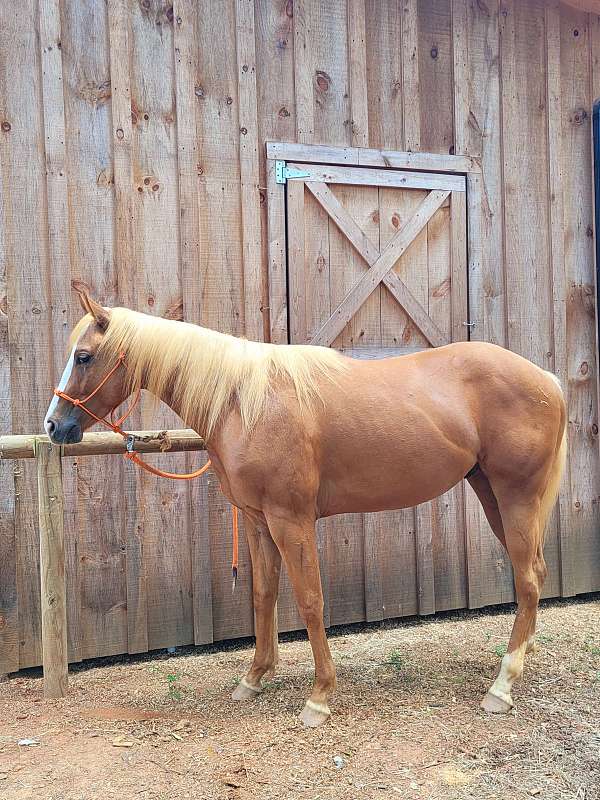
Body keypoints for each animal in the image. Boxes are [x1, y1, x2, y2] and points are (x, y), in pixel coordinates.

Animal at [43, 286, 568, 724]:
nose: (53, 426)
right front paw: (254, 678)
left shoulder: (290, 520)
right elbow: (263, 596)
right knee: (535, 576)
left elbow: (310, 600)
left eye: (84, 356)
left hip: (516, 496)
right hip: (491, 495)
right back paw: (520, 662)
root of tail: (546, 379)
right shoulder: (257, 522)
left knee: (527, 578)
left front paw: (319, 697)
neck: (244, 401)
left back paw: (501, 687)